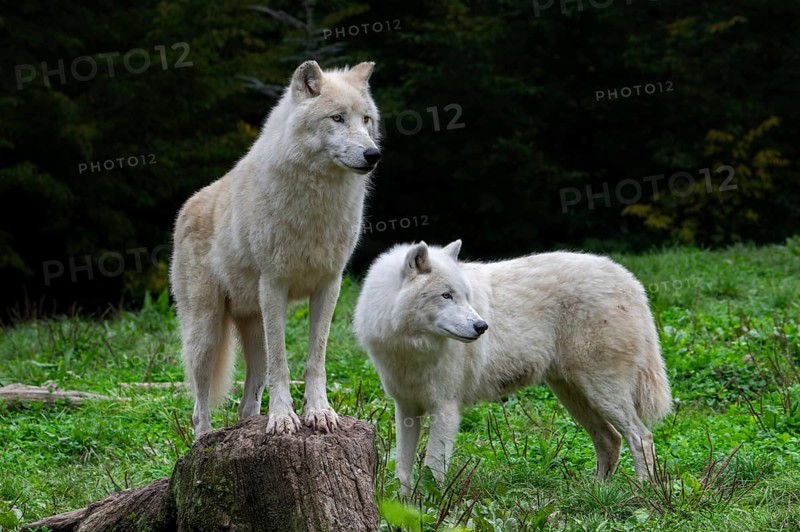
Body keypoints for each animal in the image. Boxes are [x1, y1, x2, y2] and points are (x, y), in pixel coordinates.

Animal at [170, 60, 381, 438]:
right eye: (337, 118)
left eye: (367, 119)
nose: (373, 154)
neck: (317, 203)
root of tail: (188, 206)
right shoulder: (274, 286)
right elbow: (281, 365)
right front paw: (283, 418)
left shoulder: (330, 286)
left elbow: (316, 360)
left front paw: (319, 412)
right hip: (207, 333)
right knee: (199, 405)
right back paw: (203, 441)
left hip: (253, 329)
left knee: (247, 400)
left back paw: (248, 423)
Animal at [354, 240, 672, 493]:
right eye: (446, 295)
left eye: (465, 295)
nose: (482, 327)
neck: (411, 348)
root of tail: (630, 280)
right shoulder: (406, 408)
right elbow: (403, 469)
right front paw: (403, 505)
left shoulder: (446, 410)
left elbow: (433, 469)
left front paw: (430, 505)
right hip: (574, 396)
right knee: (610, 439)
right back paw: (597, 492)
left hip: (602, 393)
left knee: (641, 436)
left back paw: (641, 491)